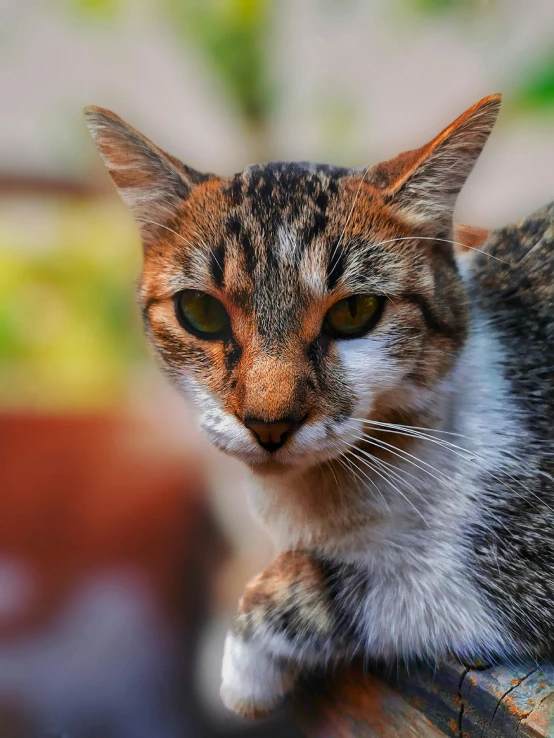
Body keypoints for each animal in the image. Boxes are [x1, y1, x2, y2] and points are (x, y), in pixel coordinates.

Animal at [83, 93, 552, 720]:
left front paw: (240, 665)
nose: (268, 422)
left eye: (355, 312)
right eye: (200, 312)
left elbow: (370, 582)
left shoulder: (510, 560)